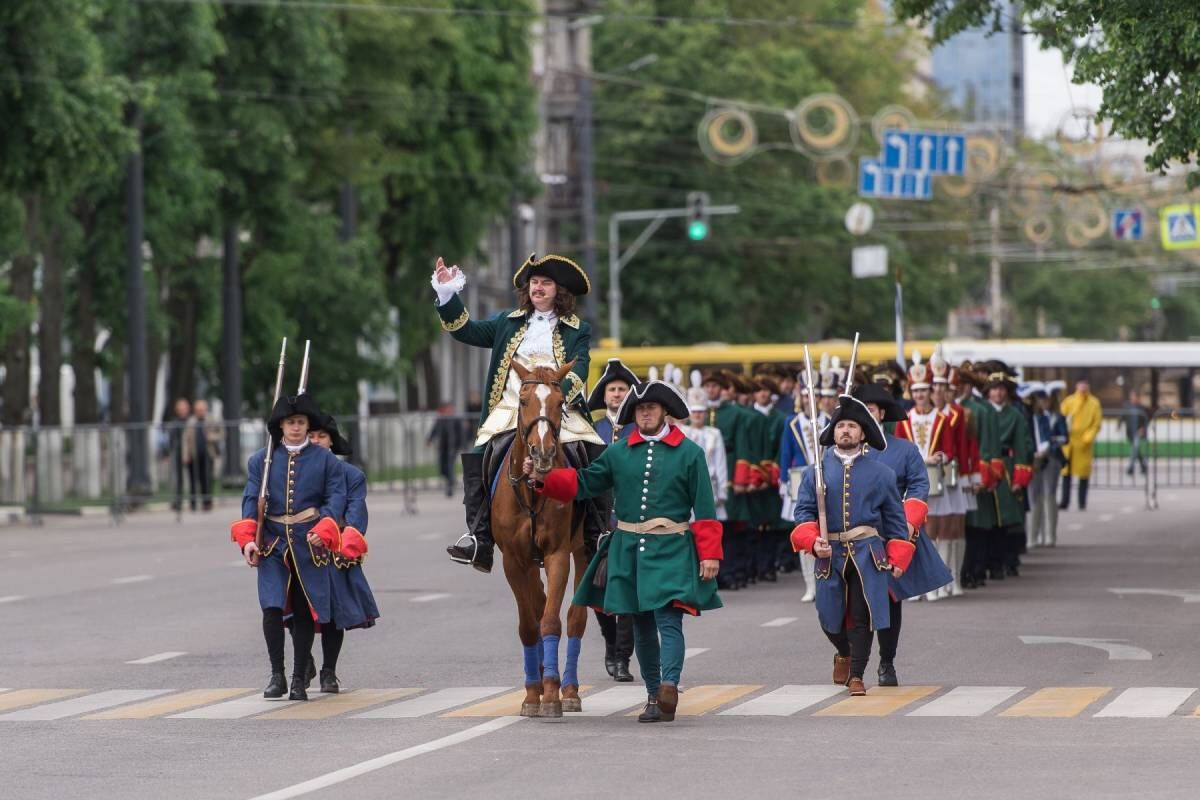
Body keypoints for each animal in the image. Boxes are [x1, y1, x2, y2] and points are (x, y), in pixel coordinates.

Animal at [492, 362, 590, 719]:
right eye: (523, 400)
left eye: (561, 402)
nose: (543, 453)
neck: (533, 489)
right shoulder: (513, 561)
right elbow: (528, 626)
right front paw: (532, 695)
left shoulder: (558, 554)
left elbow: (550, 622)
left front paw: (550, 695)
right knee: (538, 602)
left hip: (584, 550)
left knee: (575, 618)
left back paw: (569, 689)